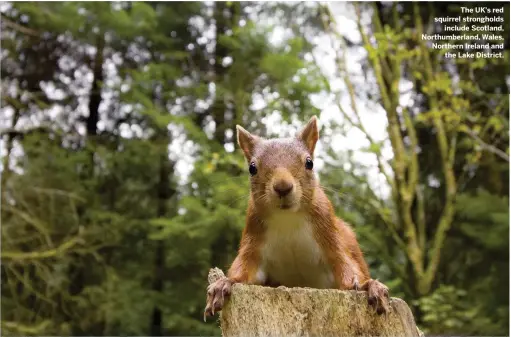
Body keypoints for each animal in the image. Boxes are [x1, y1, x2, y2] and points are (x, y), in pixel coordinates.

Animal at [206, 117, 390, 318]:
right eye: (252, 168)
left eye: (309, 163)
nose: (283, 187)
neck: (288, 219)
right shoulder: (253, 241)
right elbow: (244, 268)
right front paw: (224, 283)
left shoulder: (330, 237)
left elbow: (345, 266)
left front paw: (368, 286)